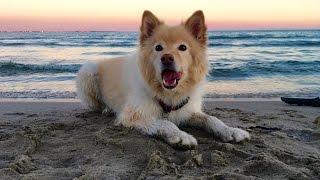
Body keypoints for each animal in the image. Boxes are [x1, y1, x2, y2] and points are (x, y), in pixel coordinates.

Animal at [77, 9, 250, 149]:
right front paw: (181, 136)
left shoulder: (188, 111)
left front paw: (230, 131)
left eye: (183, 47)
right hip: (88, 72)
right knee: (97, 105)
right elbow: (165, 122)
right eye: (158, 48)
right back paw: (106, 109)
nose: (166, 58)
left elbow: (211, 119)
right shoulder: (133, 115)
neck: (169, 94)